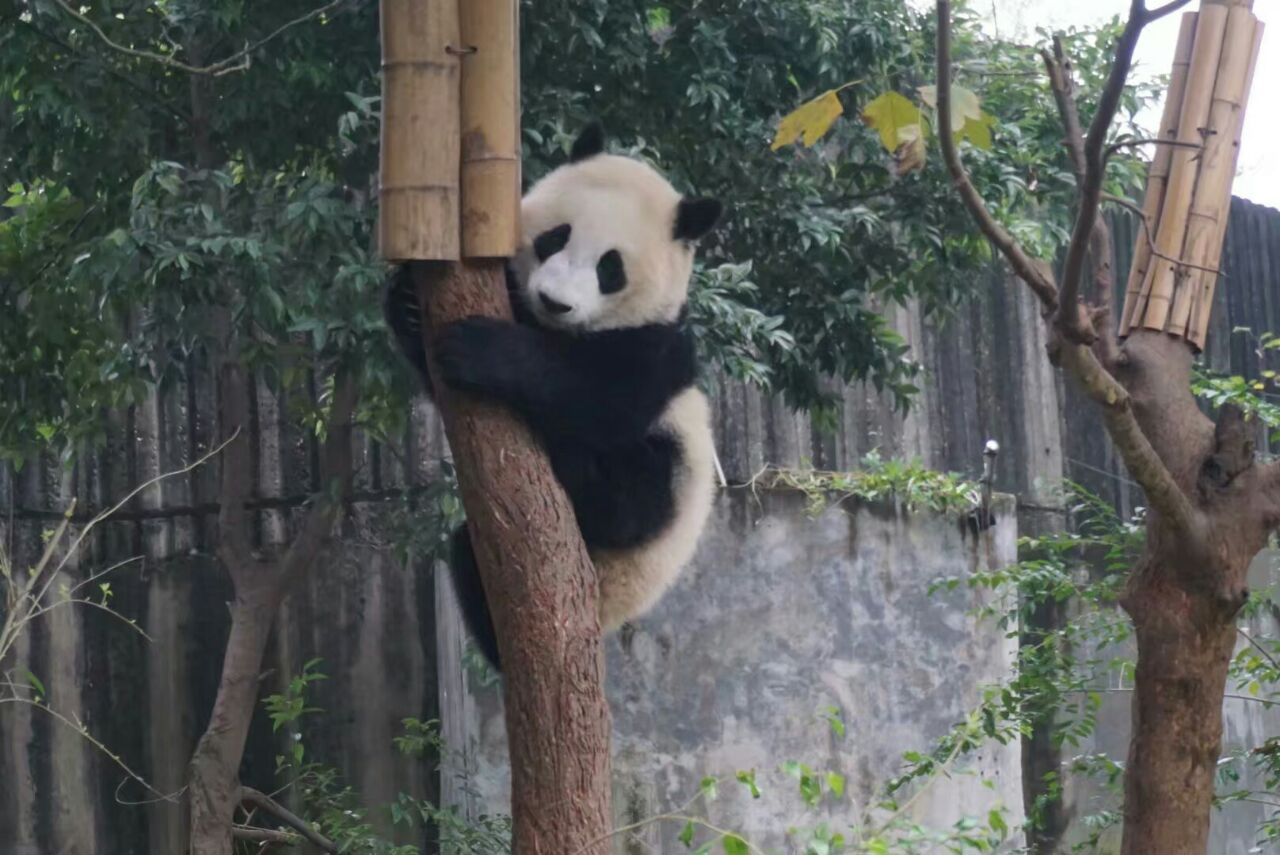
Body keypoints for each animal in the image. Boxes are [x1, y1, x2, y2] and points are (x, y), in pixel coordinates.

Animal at [384, 123, 721, 670]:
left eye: (610, 269)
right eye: (555, 237)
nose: (555, 301)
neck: (551, 327)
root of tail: (608, 608)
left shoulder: (654, 347)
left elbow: (598, 395)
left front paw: (481, 351)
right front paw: (409, 302)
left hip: (670, 483)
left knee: (633, 497)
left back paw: (575, 468)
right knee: (465, 552)